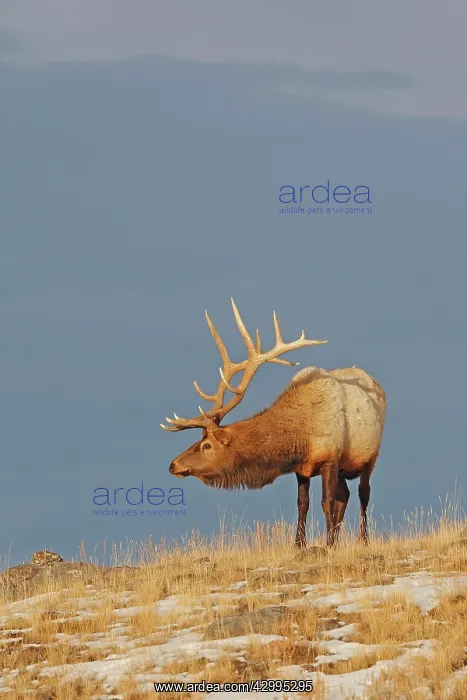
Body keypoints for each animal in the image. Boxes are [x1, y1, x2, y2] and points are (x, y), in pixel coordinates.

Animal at [161, 299, 386, 549]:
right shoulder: (303, 468)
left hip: (369, 456)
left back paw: (363, 539)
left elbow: (326, 501)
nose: (173, 465)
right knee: (345, 494)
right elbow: (303, 503)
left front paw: (327, 544)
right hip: (346, 467)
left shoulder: (330, 457)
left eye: (206, 445)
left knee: (363, 493)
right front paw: (300, 544)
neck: (300, 437)